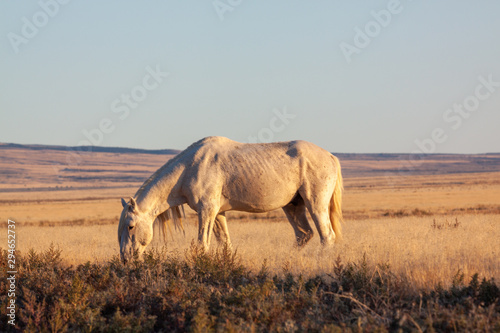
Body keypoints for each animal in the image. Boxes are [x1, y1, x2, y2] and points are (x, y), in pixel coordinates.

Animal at [118, 136, 344, 264]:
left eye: (130, 226)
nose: (126, 259)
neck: (189, 168)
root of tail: (331, 156)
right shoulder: (218, 213)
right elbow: (225, 243)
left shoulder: (207, 210)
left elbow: (203, 244)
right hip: (293, 206)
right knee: (304, 235)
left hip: (315, 204)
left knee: (327, 236)